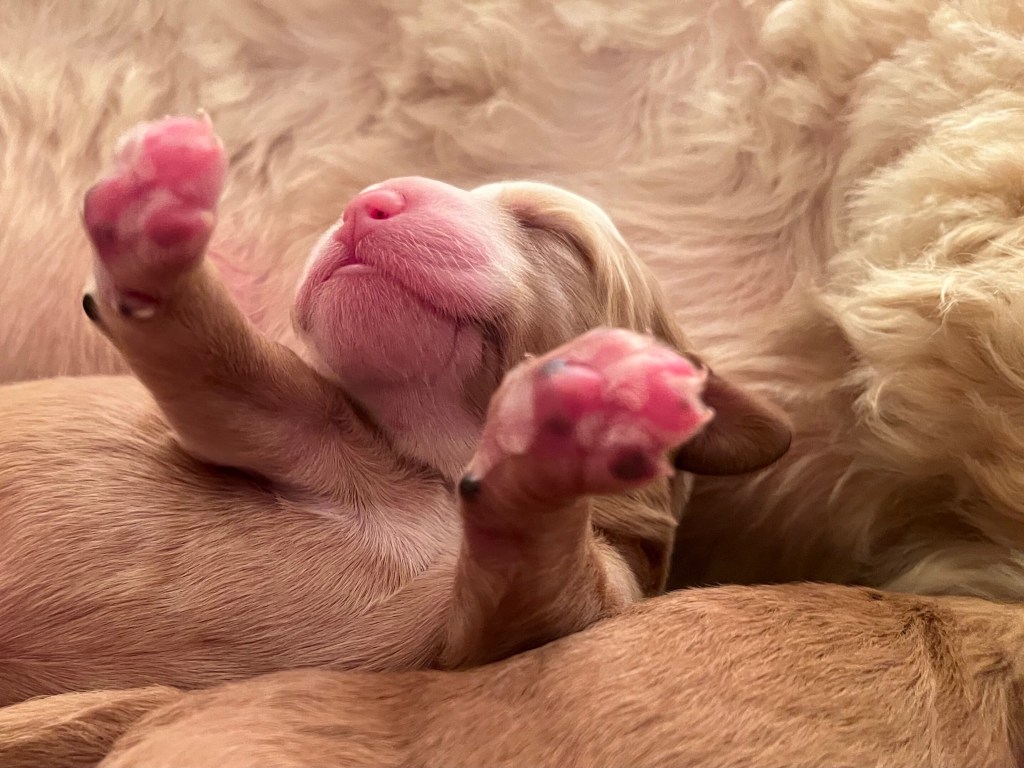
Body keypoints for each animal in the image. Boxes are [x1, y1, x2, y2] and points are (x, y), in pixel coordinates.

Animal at [0, 115, 790, 706]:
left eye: (550, 230)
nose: (368, 201)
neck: (435, 466)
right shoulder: (277, 414)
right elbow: (218, 356)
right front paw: (148, 211)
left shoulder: (530, 624)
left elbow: (536, 566)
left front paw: (574, 422)